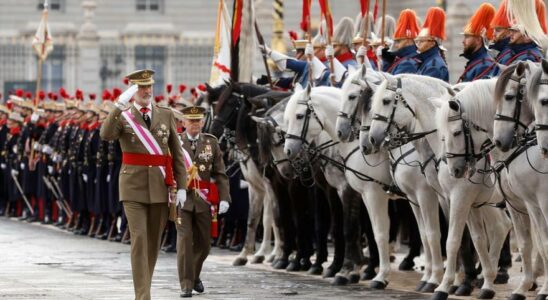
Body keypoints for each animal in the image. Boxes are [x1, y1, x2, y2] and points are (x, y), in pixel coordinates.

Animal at [284, 84, 396, 288]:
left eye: (299, 116)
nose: (288, 152)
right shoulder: (351, 192)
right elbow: (353, 228)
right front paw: (353, 269)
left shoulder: (352, 191)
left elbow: (349, 229)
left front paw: (345, 270)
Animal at [368, 75, 512, 300]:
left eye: (385, 101)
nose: (372, 139)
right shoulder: (446, 198)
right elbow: (470, 239)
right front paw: (454, 281)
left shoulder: (452, 196)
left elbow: (450, 238)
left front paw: (445, 284)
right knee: (501, 226)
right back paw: (488, 280)